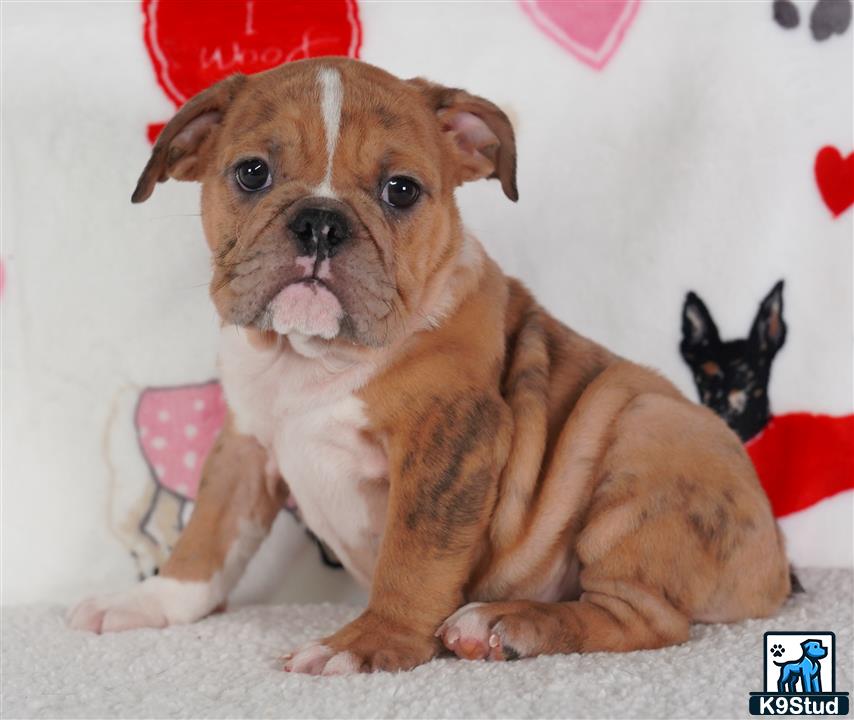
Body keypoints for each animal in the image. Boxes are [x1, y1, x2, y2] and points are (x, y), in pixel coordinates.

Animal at [68, 59, 796, 672]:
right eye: (252, 173)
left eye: (401, 190)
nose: (320, 222)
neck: (312, 360)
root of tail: (774, 567)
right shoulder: (244, 445)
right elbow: (209, 537)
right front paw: (151, 601)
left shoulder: (450, 439)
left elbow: (414, 555)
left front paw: (368, 643)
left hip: (646, 440)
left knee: (643, 618)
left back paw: (503, 624)